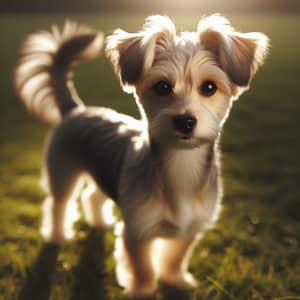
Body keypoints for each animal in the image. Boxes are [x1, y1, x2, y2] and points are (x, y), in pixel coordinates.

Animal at [14, 15, 270, 296]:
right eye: (163, 86)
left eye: (209, 87)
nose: (185, 122)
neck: (181, 167)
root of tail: (76, 109)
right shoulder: (137, 229)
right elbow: (143, 266)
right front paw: (143, 290)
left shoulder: (190, 227)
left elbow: (175, 256)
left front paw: (174, 279)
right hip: (62, 171)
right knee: (58, 204)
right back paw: (58, 235)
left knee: (92, 195)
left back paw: (99, 222)